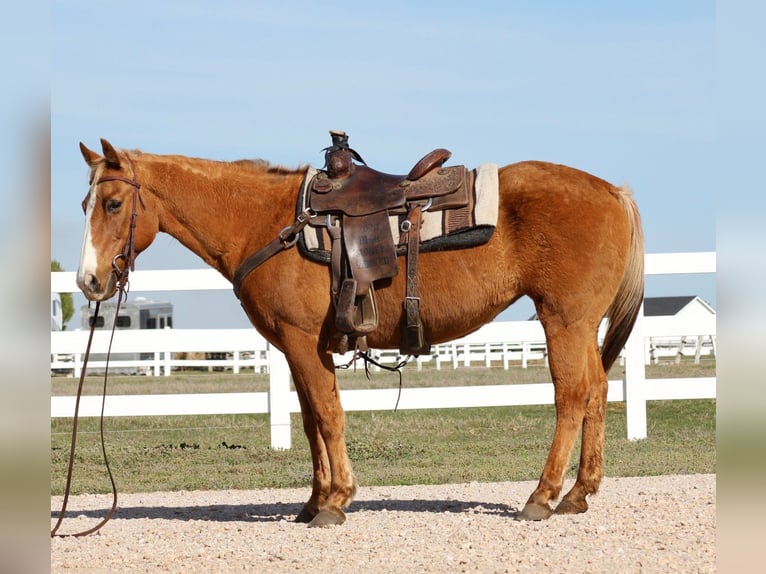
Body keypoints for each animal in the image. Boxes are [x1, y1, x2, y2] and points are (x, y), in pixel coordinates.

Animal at [76, 138, 644, 526]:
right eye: (86, 205)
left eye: (112, 204)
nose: (89, 281)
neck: (265, 224)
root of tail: (612, 192)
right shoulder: (298, 348)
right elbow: (310, 422)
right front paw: (313, 501)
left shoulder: (303, 341)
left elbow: (329, 416)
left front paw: (336, 501)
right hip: (580, 325)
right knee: (597, 392)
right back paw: (578, 494)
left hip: (564, 320)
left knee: (572, 396)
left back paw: (542, 496)